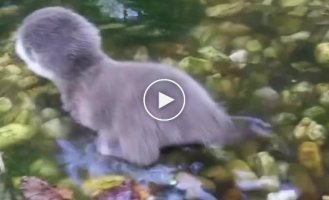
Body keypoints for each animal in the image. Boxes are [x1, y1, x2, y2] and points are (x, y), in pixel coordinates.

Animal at [15, 6, 270, 166]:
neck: (84, 74)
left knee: (143, 157)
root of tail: (216, 122)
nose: (14, 36)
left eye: (22, 39)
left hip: (137, 124)